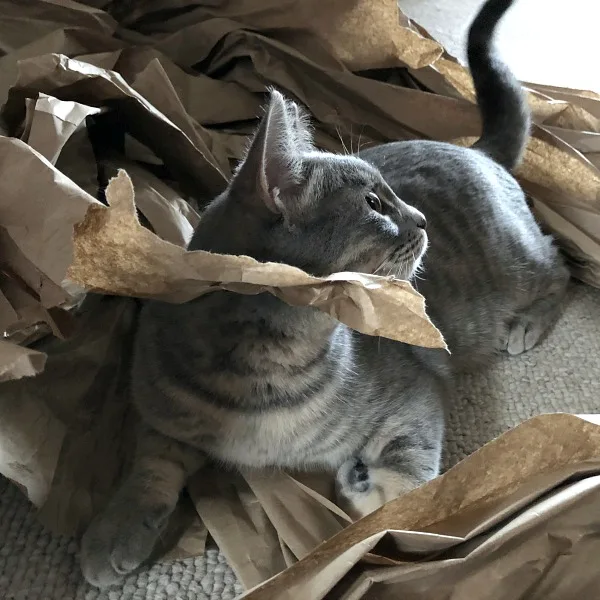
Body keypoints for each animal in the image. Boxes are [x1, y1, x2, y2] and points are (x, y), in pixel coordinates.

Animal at [81, 0, 568, 588]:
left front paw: (377, 495)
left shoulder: (415, 394)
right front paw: (115, 528)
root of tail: (476, 150)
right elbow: (149, 463)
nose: (421, 219)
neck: (266, 371)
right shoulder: (164, 410)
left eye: (391, 198)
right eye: (375, 204)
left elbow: (406, 488)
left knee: (560, 263)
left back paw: (527, 322)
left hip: (515, 261)